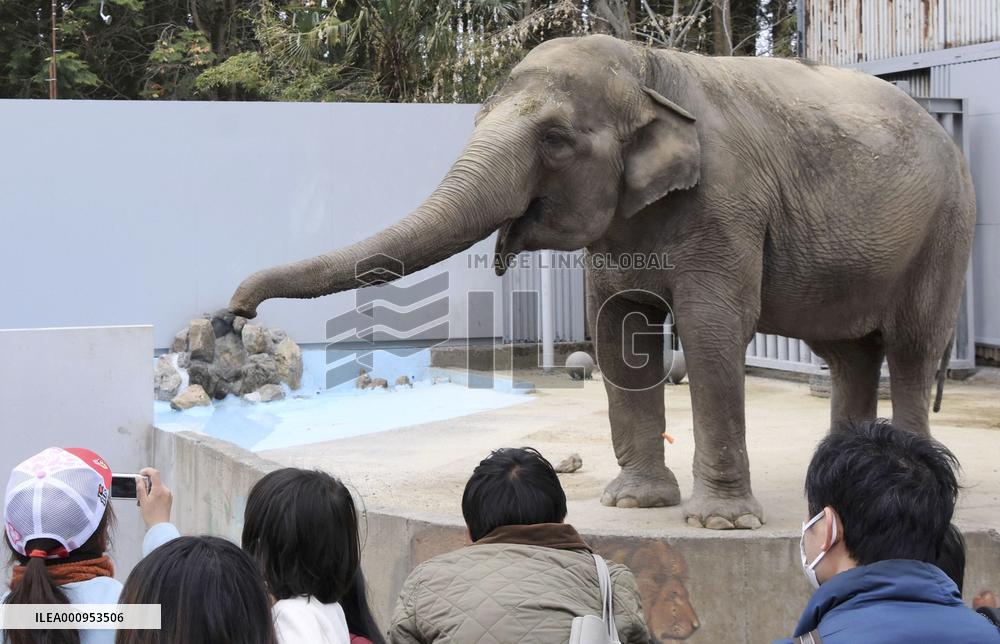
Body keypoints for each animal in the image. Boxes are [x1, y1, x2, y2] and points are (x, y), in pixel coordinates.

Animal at [229, 35, 976, 529]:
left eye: (556, 140)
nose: (237, 315)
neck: (652, 70)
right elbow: (620, 333)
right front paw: (637, 503)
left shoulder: (727, 206)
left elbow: (710, 335)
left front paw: (720, 523)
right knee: (848, 353)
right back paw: (835, 481)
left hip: (946, 231)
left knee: (912, 349)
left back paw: (924, 476)